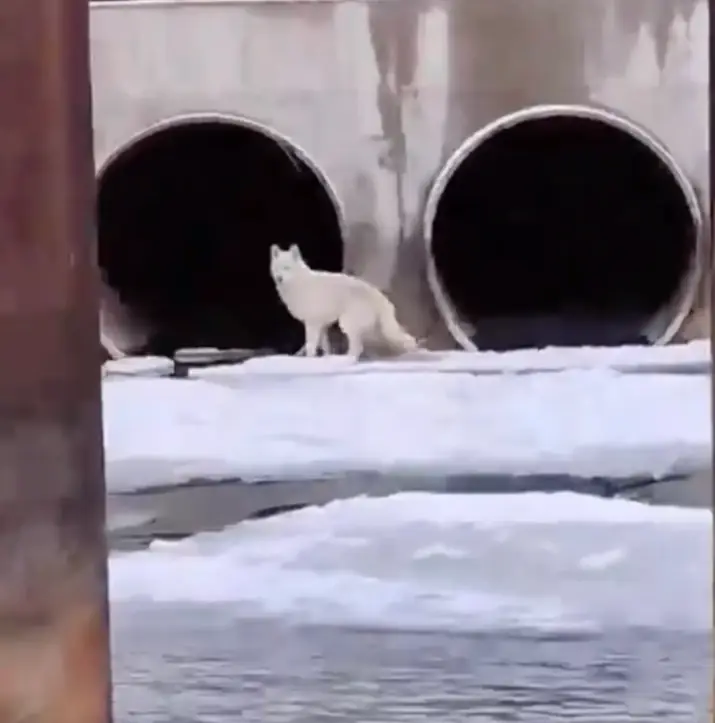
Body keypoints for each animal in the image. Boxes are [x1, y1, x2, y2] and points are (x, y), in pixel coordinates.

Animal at [270, 244, 418, 359]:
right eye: (277, 268)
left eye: (287, 267)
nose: (279, 278)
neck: (299, 283)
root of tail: (380, 297)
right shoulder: (322, 325)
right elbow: (325, 347)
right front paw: (325, 359)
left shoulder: (312, 324)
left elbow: (311, 346)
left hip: (347, 323)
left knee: (357, 348)